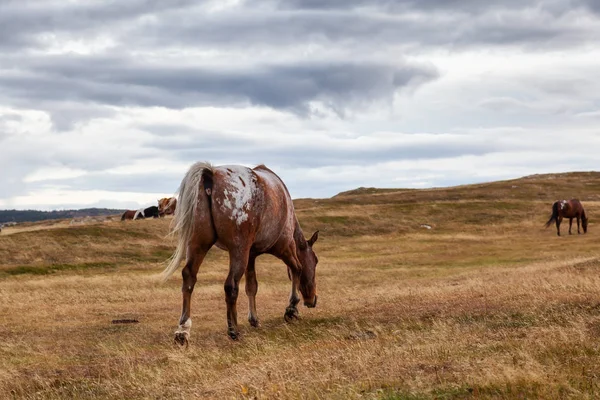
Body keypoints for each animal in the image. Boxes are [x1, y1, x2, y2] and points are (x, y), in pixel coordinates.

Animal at [159, 162, 318, 344]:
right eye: (315, 261)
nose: (313, 300)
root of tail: (210, 173)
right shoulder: (285, 246)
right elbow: (296, 269)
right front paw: (291, 308)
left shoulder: (251, 255)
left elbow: (252, 287)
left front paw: (254, 319)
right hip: (238, 250)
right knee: (231, 285)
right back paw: (233, 329)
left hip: (198, 245)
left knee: (189, 278)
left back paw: (183, 330)